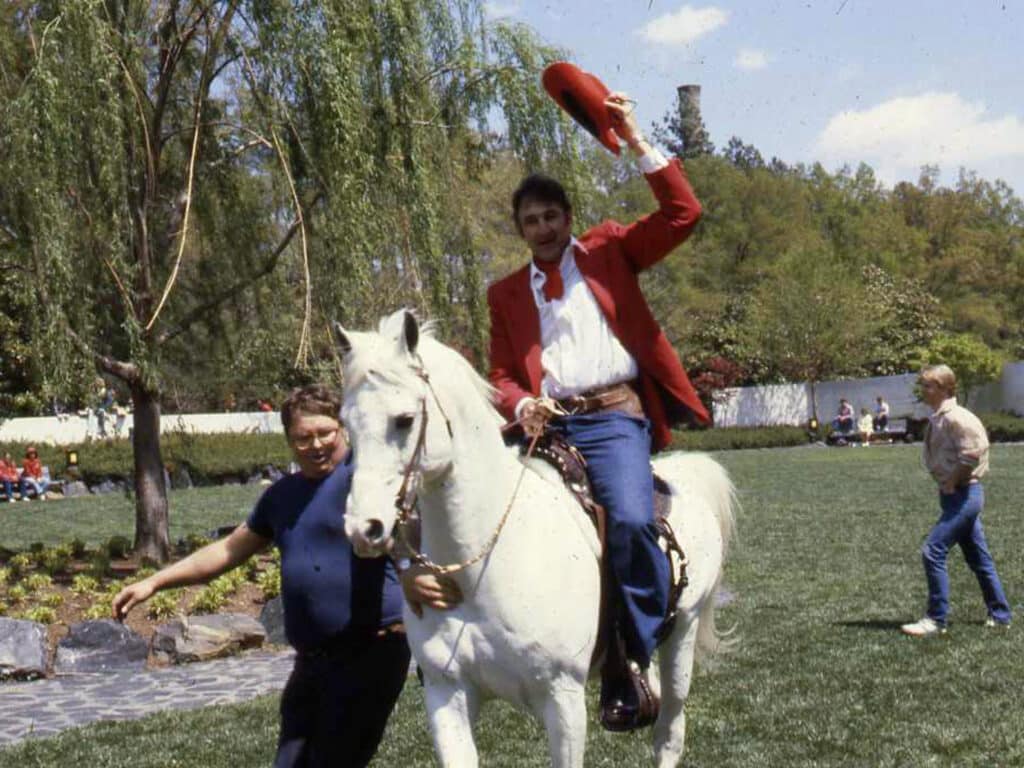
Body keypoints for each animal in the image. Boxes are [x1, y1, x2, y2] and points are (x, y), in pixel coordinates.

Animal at [337, 309, 737, 765]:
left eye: (404, 420)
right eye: (346, 423)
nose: (364, 528)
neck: (486, 563)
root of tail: (683, 473)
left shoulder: (563, 699)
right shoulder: (446, 694)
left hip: (682, 635)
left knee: (669, 733)